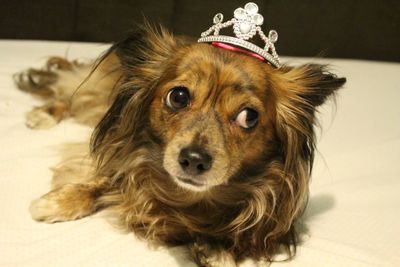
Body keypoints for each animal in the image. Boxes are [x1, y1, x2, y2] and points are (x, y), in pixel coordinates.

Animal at [14, 19, 344, 266]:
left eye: (249, 117)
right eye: (179, 97)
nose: (194, 159)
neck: (187, 198)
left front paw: (217, 248)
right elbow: (103, 178)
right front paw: (57, 202)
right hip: (97, 91)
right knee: (68, 92)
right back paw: (44, 113)